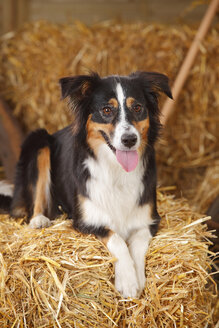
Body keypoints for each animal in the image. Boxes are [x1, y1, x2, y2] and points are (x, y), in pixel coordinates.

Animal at [0, 72, 173, 298]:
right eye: (106, 110)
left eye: (137, 108)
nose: (129, 139)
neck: (116, 171)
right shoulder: (86, 221)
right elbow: (117, 239)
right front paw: (127, 281)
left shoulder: (149, 220)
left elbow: (137, 242)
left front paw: (138, 278)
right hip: (39, 140)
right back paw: (39, 219)